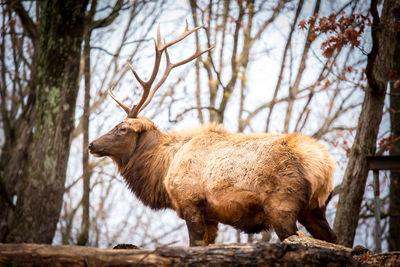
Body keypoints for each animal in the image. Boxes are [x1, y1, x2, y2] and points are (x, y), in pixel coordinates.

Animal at [88, 22, 338, 247]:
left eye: (122, 128)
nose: (92, 144)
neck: (163, 170)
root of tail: (323, 164)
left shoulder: (191, 202)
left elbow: (195, 246)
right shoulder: (211, 216)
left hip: (282, 204)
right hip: (316, 208)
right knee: (333, 238)